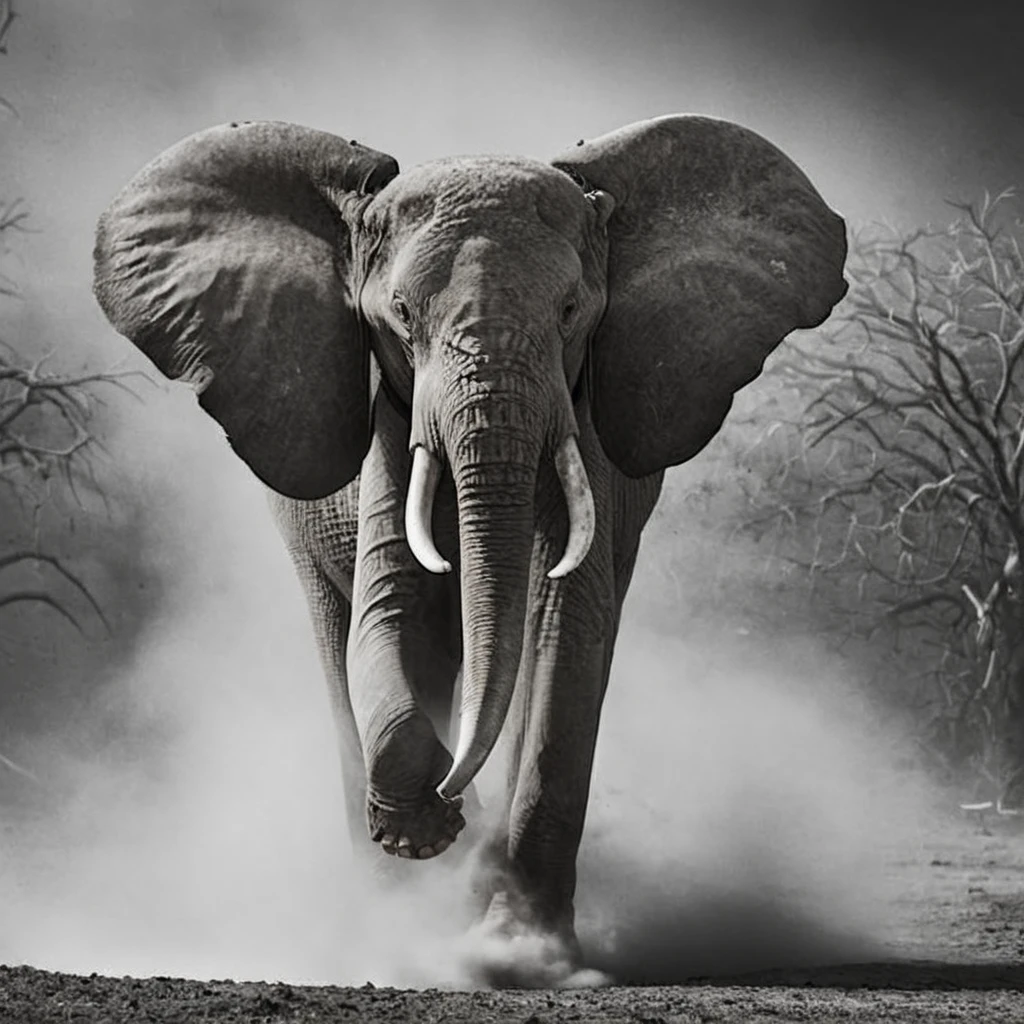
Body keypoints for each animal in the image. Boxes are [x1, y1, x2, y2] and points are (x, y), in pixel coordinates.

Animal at [94, 114, 847, 966]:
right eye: (399, 314)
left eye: (570, 310)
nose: (453, 802)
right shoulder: (386, 423)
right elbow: (392, 619)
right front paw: (433, 828)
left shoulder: (585, 423)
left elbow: (561, 632)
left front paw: (517, 952)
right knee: (339, 640)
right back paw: (387, 921)